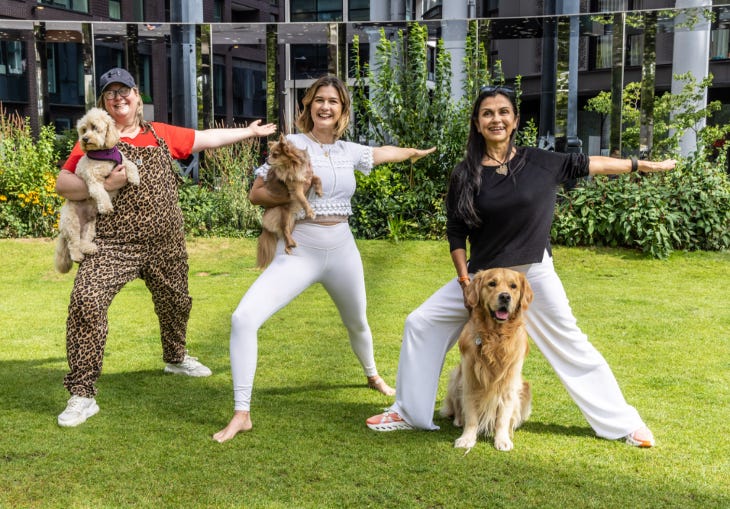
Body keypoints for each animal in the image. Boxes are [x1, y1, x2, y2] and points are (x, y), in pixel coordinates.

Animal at [54, 107, 139, 274]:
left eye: (94, 127)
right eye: (83, 130)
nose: (85, 139)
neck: (103, 153)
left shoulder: (121, 161)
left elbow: (130, 164)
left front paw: (135, 177)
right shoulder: (93, 179)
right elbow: (101, 193)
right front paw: (106, 207)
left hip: (90, 225)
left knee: (83, 240)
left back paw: (89, 248)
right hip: (71, 222)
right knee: (73, 243)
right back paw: (77, 255)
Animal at [258, 135, 322, 270]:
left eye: (275, 155)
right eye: (270, 153)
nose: (266, 159)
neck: (292, 165)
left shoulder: (306, 176)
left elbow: (317, 178)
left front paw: (319, 190)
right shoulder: (296, 188)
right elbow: (303, 200)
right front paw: (310, 212)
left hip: (291, 222)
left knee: (284, 234)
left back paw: (288, 247)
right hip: (283, 213)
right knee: (284, 230)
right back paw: (292, 244)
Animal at [438, 268, 536, 450]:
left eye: (513, 286)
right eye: (492, 284)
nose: (505, 296)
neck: (495, 336)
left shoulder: (509, 381)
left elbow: (503, 417)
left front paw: (502, 439)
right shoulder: (470, 377)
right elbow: (471, 414)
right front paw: (467, 438)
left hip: (524, 387)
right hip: (456, 377)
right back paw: (458, 420)